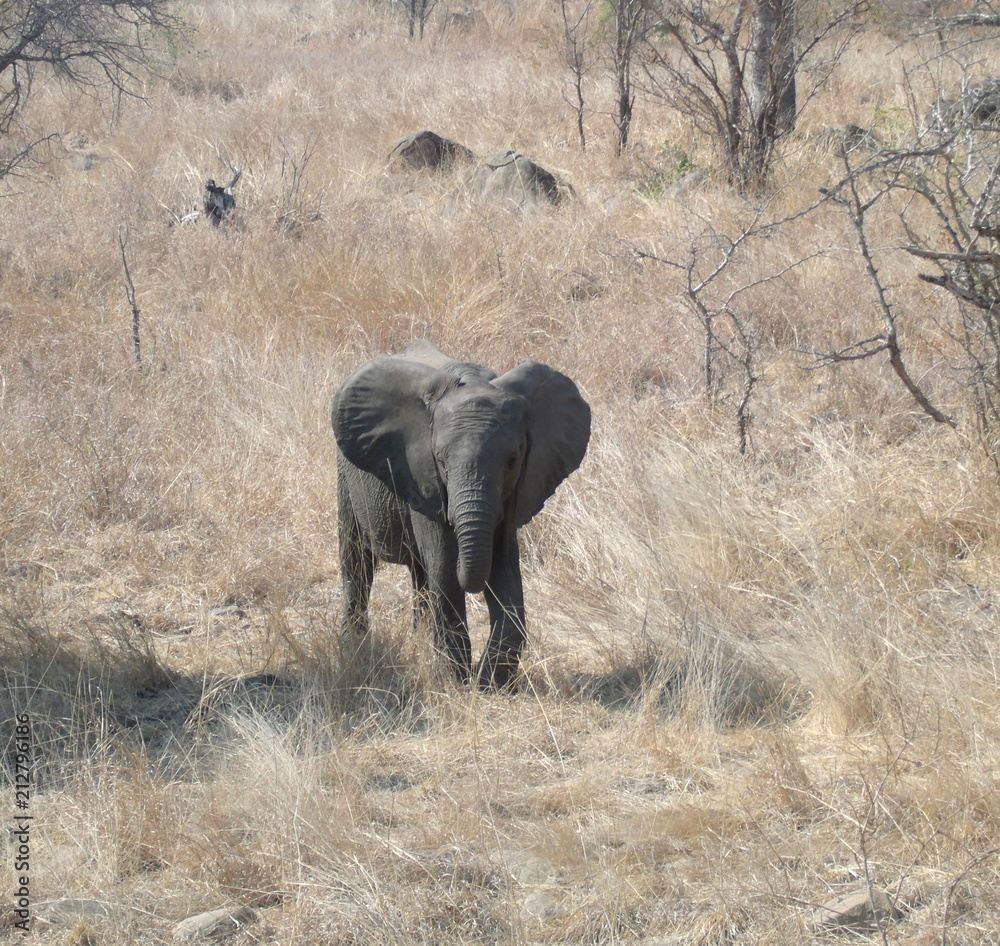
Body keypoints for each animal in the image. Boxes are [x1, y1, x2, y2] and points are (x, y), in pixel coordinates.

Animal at [332, 340, 591, 690]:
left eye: (512, 459)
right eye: (441, 460)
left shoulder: (517, 489)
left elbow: (505, 567)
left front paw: (490, 683)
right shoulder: (422, 476)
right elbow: (444, 568)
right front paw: (455, 682)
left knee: (419, 573)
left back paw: (420, 641)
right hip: (346, 477)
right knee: (357, 561)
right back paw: (355, 649)